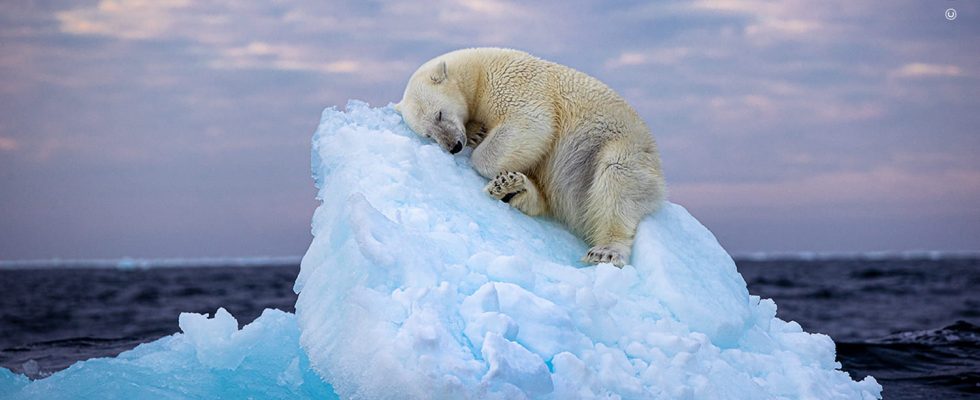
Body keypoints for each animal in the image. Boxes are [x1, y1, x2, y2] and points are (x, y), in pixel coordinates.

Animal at [396, 48, 668, 268]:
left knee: (616, 181)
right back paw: (512, 188)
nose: (454, 146)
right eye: (428, 134)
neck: (478, 71)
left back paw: (606, 251)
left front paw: (480, 148)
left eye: (439, 114)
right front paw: (477, 133)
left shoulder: (513, 84)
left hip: (619, 147)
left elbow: (531, 123)